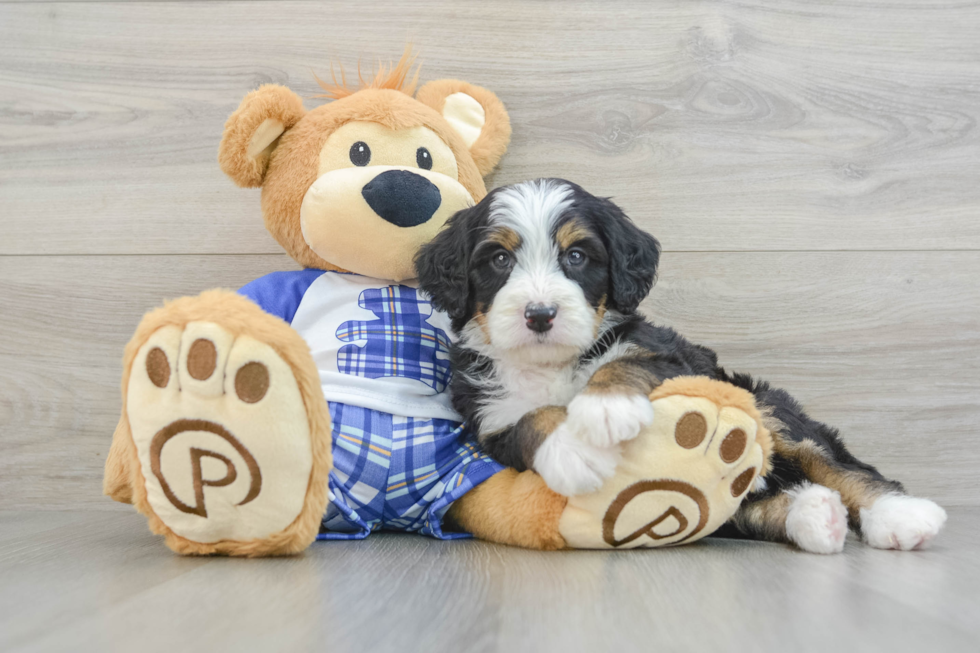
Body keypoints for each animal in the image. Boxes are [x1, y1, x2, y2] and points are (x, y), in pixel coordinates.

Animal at [416, 177, 948, 552]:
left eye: (577, 255)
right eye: (499, 259)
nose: (540, 315)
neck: (555, 363)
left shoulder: (673, 360)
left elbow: (622, 365)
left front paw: (604, 409)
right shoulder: (490, 419)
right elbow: (532, 420)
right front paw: (574, 450)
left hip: (765, 403)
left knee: (835, 465)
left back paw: (899, 517)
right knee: (753, 509)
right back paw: (816, 517)